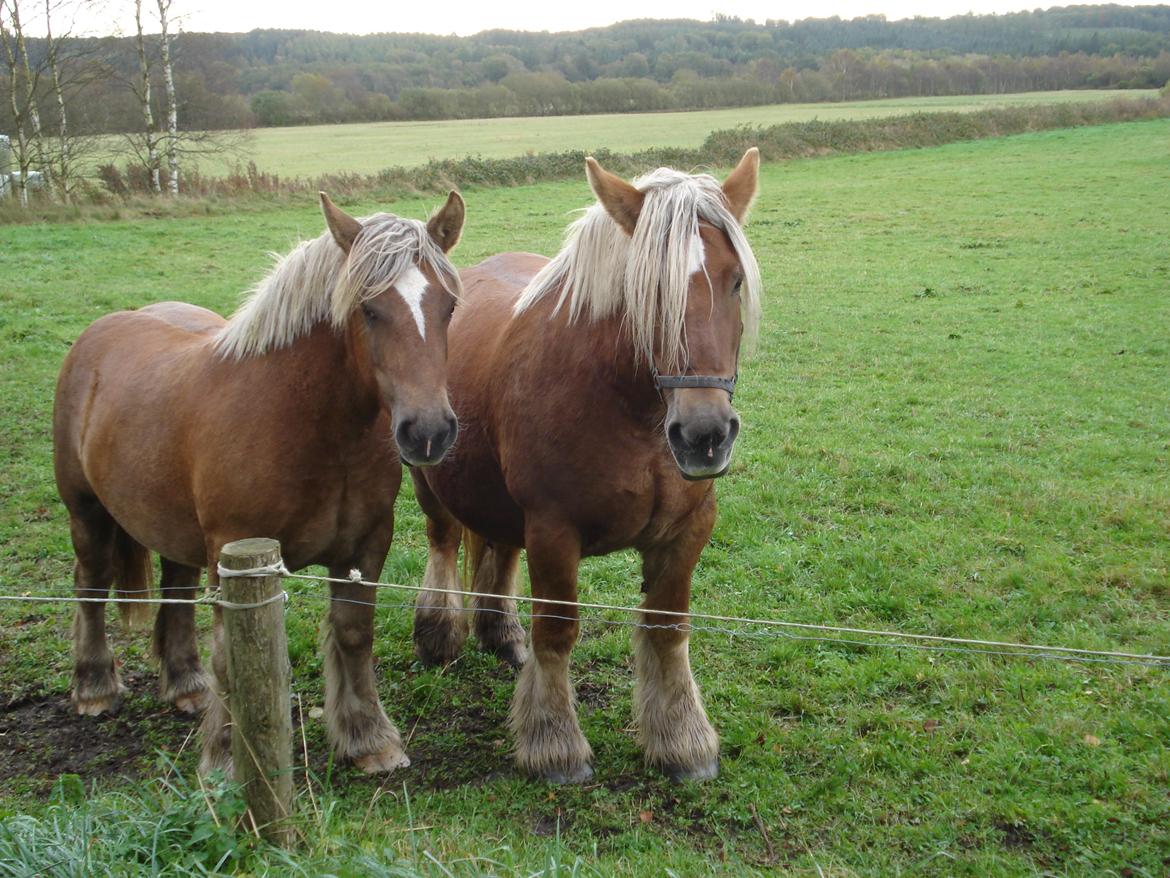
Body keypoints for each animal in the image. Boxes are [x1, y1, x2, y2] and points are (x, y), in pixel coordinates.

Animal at [53, 191, 465, 777]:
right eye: (368, 310)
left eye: (448, 307)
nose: (427, 432)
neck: (307, 425)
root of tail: (101, 331)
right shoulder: (236, 553)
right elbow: (231, 658)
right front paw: (226, 760)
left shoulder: (365, 547)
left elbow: (353, 634)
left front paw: (369, 738)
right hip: (86, 511)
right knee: (90, 583)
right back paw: (94, 687)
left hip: (173, 530)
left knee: (176, 593)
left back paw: (186, 685)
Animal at [411, 151, 767, 782]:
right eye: (648, 290)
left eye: (736, 281)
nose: (704, 435)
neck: (628, 411)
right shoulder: (554, 532)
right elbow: (557, 631)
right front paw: (555, 745)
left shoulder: (686, 532)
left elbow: (668, 628)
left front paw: (682, 740)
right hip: (428, 480)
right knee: (443, 539)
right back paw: (439, 633)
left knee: (499, 549)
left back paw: (501, 634)